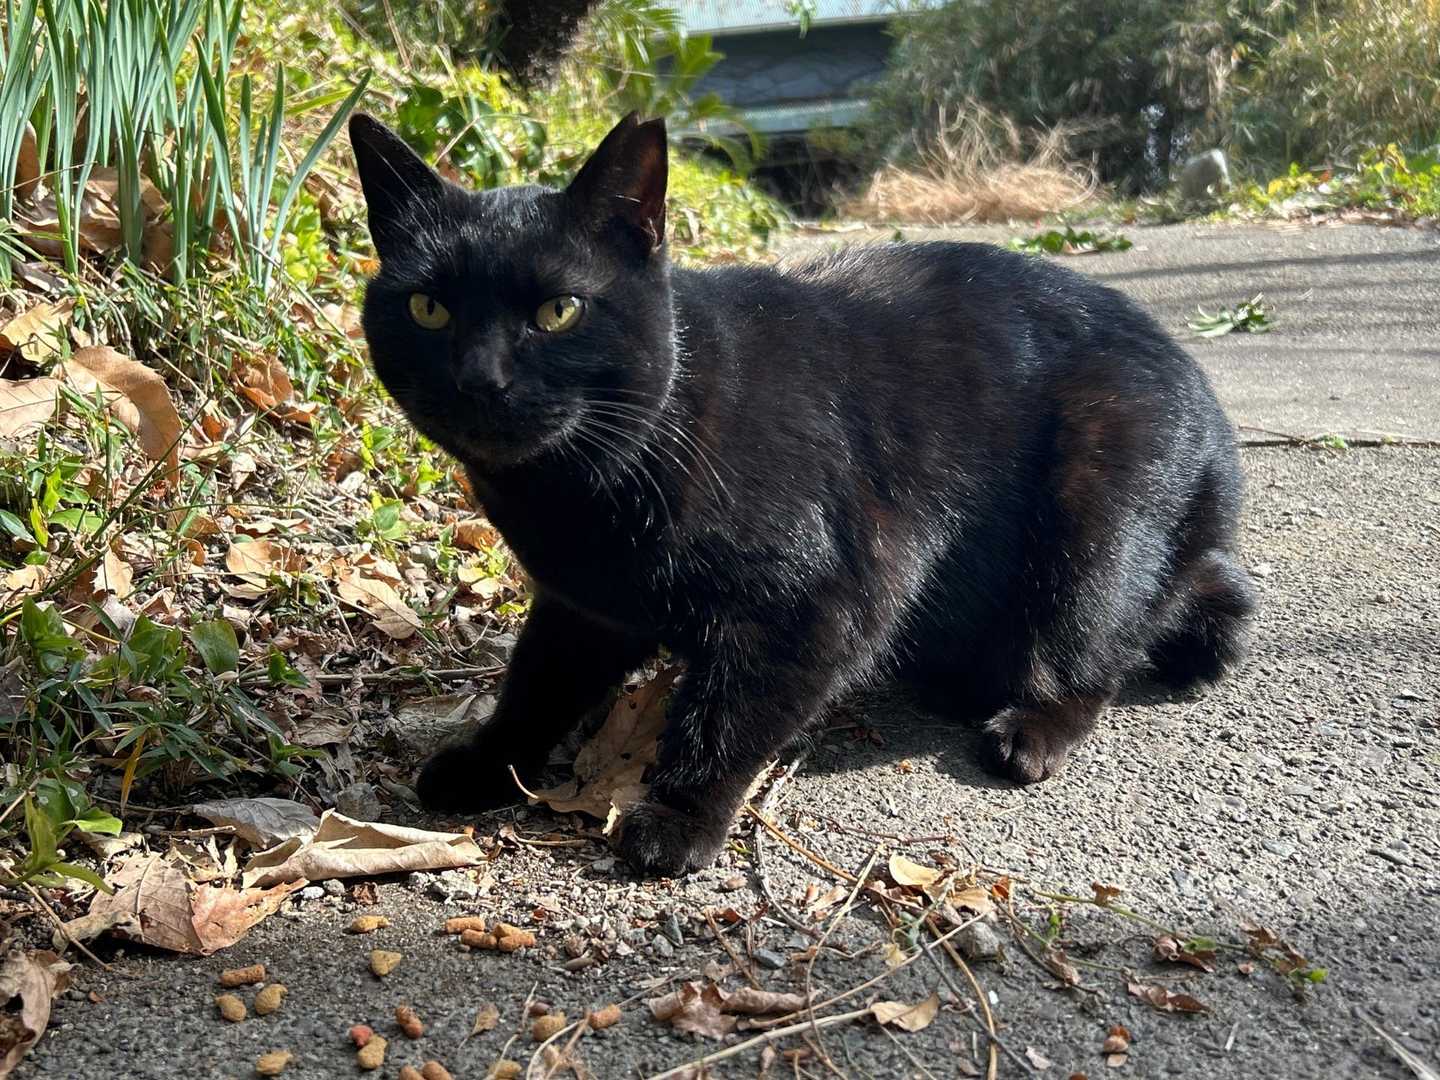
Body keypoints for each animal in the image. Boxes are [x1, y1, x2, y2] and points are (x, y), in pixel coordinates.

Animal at [350, 111, 1258, 877]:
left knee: (1098, 644)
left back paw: (1032, 725)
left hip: (1097, 511)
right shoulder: (585, 606)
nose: (480, 379)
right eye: (428, 308)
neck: (579, 493)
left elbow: (724, 718)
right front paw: (482, 762)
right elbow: (534, 686)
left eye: (559, 311)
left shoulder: (823, 600)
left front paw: (678, 820)